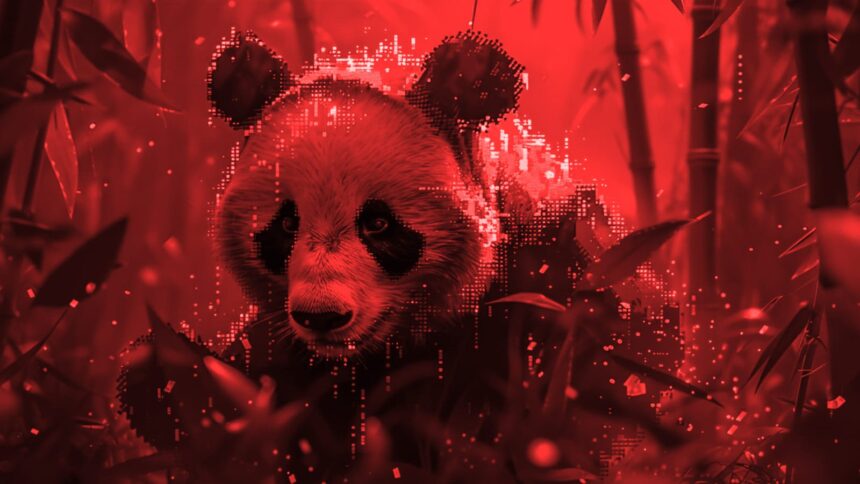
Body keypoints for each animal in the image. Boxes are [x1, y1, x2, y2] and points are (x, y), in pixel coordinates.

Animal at [119, 31, 631, 481]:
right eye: (286, 225)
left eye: (379, 224)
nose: (322, 317)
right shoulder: (289, 359)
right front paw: (160, 373)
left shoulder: (548, 293)